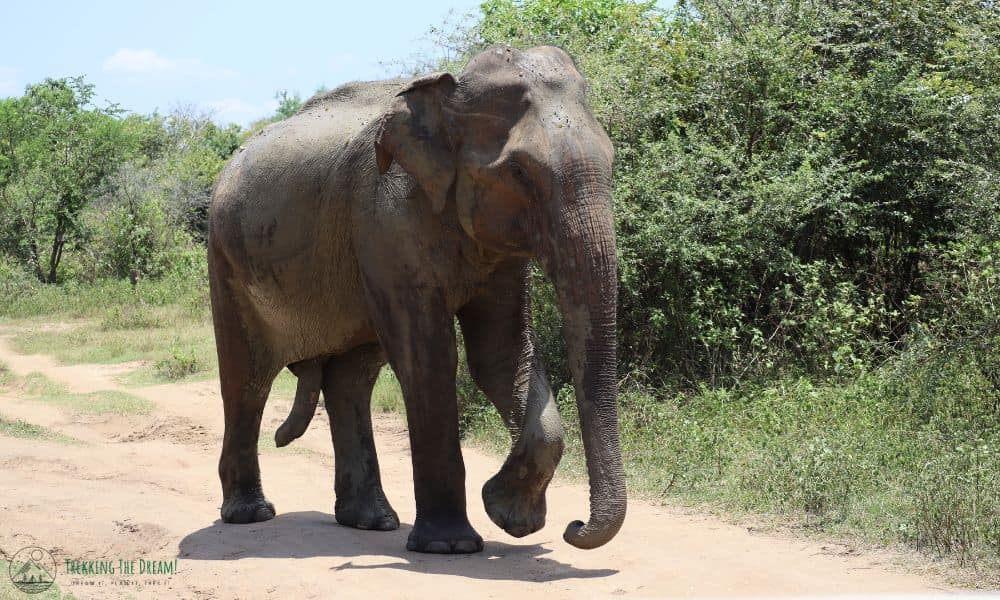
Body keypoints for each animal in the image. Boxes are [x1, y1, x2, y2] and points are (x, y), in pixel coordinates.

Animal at [207, 44, 624, 556]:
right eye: (519, 172)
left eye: (611, 161)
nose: (574, 527)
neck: (448, 95)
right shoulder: (387, 222)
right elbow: (430, 359)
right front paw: (452, 547)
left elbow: (500, 354)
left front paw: (509, 517)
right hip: (226, 259)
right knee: (246, 380)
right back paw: (249, 514)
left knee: (352, 378)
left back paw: (372, 521)